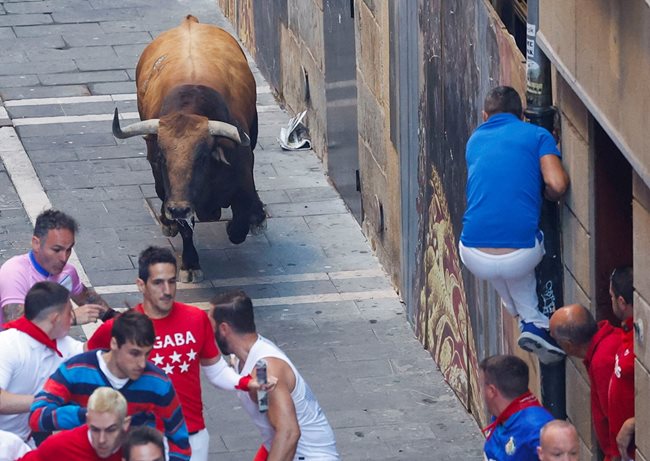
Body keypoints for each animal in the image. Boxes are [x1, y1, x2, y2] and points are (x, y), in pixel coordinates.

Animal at [112, 15, 266, 280]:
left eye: (202, 157)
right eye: (162, 158)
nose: (178, 209)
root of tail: (190, 22)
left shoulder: (243, 176)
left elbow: (240, 221)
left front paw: (249, 220)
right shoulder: (171, 192)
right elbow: (186, 229)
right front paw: (191, 263)